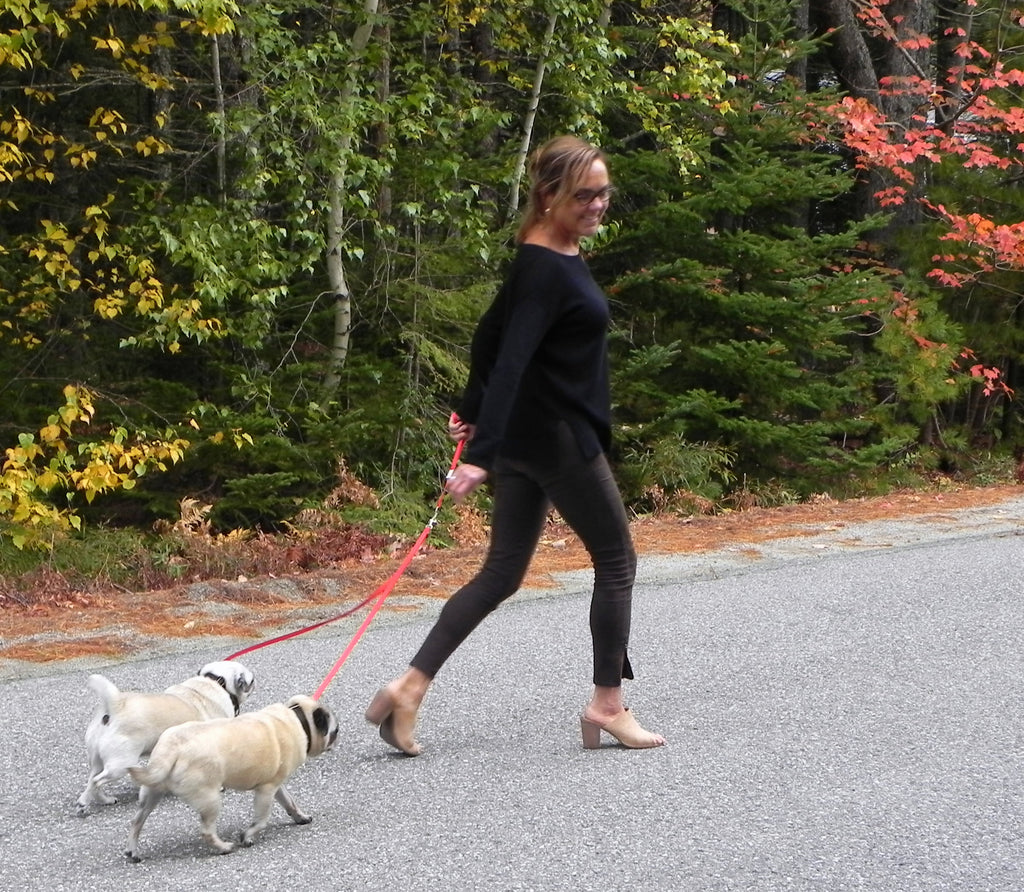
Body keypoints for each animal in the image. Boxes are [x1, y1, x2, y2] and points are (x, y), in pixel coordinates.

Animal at [77, 660, 256, 814]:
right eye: (251, 680)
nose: (255, 681)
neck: (215, 683)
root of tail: (116, 705)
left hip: (98, 762)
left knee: (92, 780)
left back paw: (102, 800)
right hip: (120, 765)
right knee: (96, 781)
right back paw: (84, 803)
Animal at [125, 694, 338, 860]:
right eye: (334, 731)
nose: (337, 736)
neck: (298, 721)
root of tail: (172, 748)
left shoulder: (277, 786)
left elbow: (289, 803)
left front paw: (299, 816)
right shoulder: (266, 790)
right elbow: (261, 820)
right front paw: (247, 836)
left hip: (151, 793)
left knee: (137, 822)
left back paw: (133, 852)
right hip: (210, 799)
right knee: (207, 831)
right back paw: (224, 847)